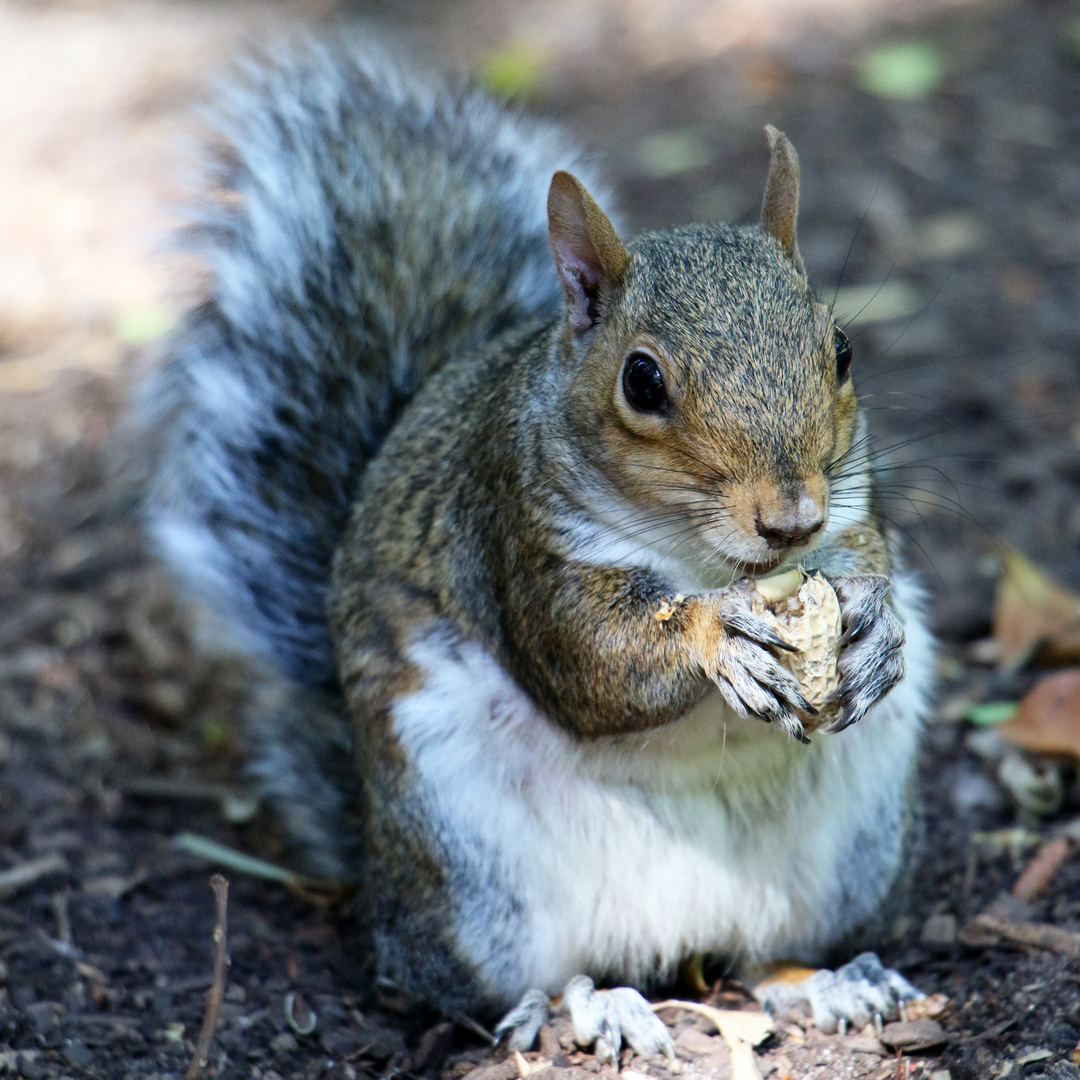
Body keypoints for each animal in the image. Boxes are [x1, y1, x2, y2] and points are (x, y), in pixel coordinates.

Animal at [143, 35, 933, 1054]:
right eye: (642, 381)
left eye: (841, 349)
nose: (790, 517)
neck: (704, 558)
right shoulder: (514, 534)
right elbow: (588, 661)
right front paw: (718, 635)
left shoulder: (852, 507)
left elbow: (867, 559)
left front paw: (877, 633)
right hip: (475, 875)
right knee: (509, 983)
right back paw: (592, 1003)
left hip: (845, 858)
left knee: (762, 958)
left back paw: (827, 980)